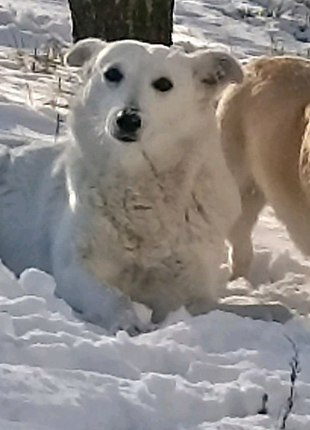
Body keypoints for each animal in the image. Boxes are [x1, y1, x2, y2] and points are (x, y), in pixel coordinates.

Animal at [0, 40, 290, 330]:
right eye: (113, 74)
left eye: (163, 84)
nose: (128, 119)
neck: (141, 187)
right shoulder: (76, 268)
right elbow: (113, 297)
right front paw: (129, 323)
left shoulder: (189, 290)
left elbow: (221, 308)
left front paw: (271, 311)